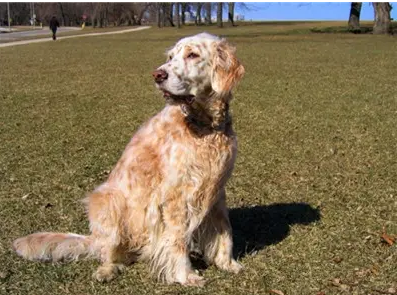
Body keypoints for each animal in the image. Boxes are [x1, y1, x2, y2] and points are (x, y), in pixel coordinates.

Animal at [13, 33, 244, 288]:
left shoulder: (216, 189)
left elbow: (225, 230)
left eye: (192, 54)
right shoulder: (176, 196)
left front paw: (227, 263)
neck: (205, 126)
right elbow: (177, 240)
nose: (158, 75)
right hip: (108, 201)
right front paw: (186, 275)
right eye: (170, 57)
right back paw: (107, 270)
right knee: (107, 252)